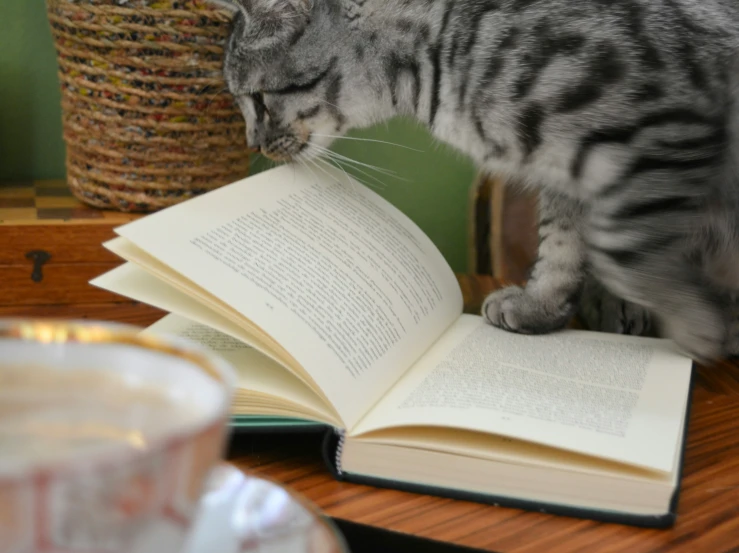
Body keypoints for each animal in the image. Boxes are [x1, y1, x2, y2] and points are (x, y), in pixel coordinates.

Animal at [205, 0, 739, 362]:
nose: (253, 145)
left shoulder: (660, 126)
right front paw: (541, 307)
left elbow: (623, 248)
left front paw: (697, 324)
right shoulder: (569, 175)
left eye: (257, 100)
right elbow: (562, 246)